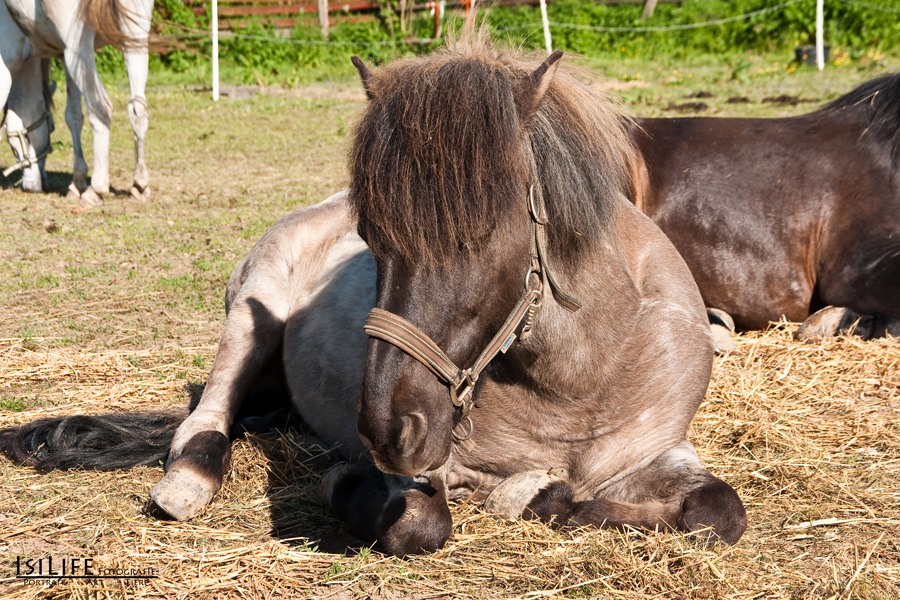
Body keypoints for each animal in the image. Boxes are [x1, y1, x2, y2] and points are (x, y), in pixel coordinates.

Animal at [0, 0, 152, 211]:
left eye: (17, 144)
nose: (32, 186)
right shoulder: (64, 56)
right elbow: (73, 117)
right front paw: (77, 183)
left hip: (78, 47)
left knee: (101, 107)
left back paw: (96, 190)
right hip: (134, 36)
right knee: (137, 110)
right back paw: (140, 184)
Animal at [0, 35, 744, 556]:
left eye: (488, 234)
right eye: (371, 235)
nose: (389, 430)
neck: (578, 377)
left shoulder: (657, 455)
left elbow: (716, 512)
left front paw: (538, 493)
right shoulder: (424, 473)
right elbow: (418, 520)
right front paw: (343, 484)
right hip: (250, 314)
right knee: (205, 418)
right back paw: (188, 481)